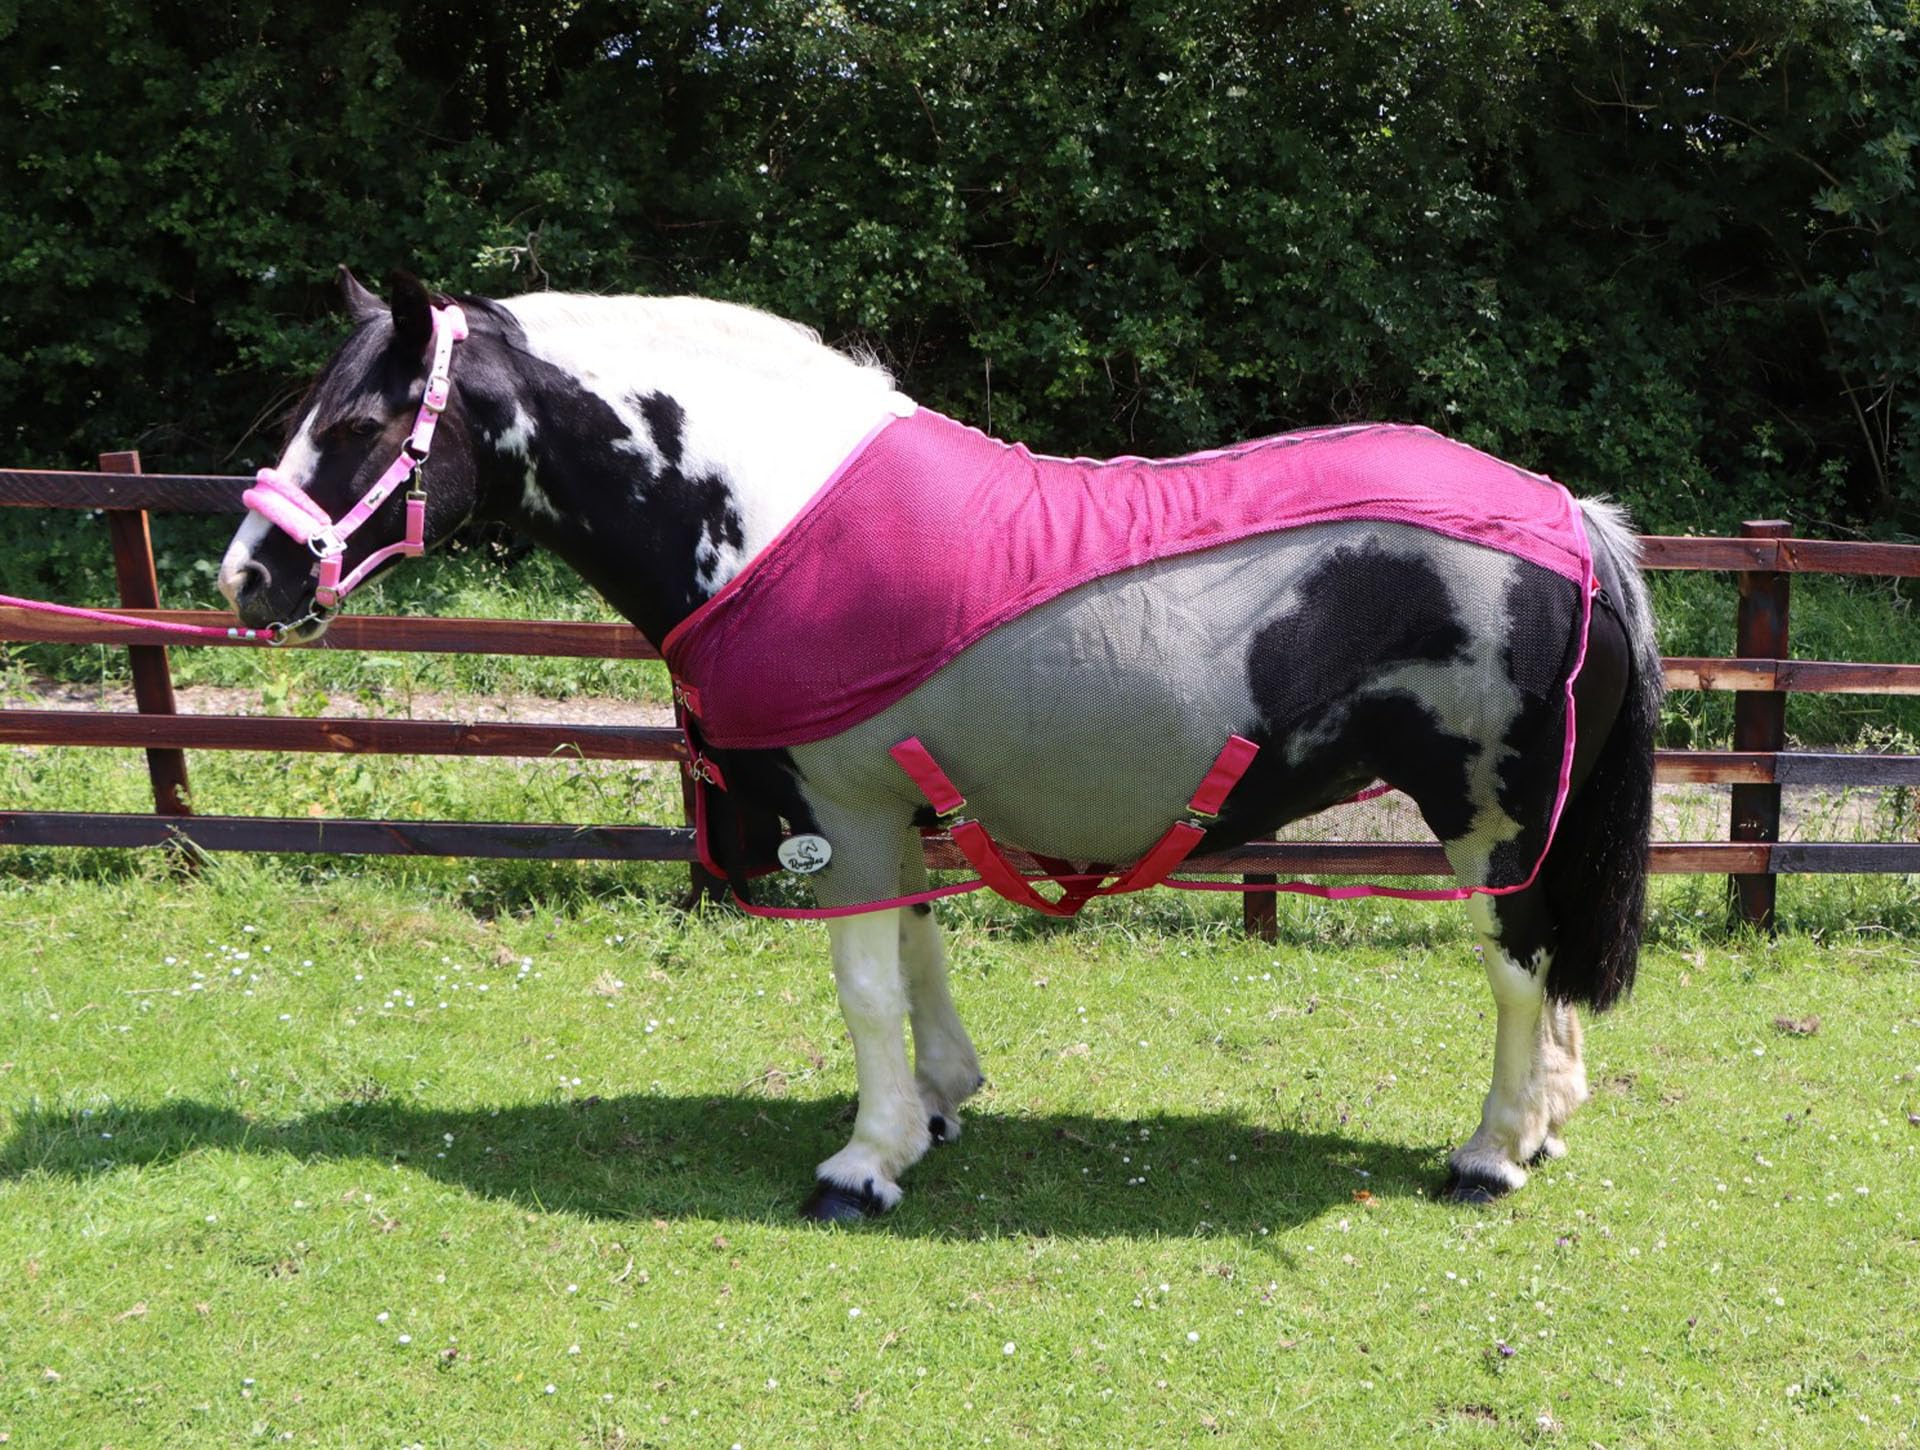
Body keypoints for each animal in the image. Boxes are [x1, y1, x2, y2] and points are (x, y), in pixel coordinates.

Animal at [218, 270, 1662, 1220]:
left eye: (358, 427)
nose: (246, 576)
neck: (779, 515)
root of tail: (1564, 515)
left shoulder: (844, 811)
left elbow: (866, 985)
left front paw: (866, 1161)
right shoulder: (889, 804)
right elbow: (917, 960)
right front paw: (936, 1107)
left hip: (1485, 808)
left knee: (1517, 965)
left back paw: (1492, 1147)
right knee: (1549, 967)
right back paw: (1548, 1122)